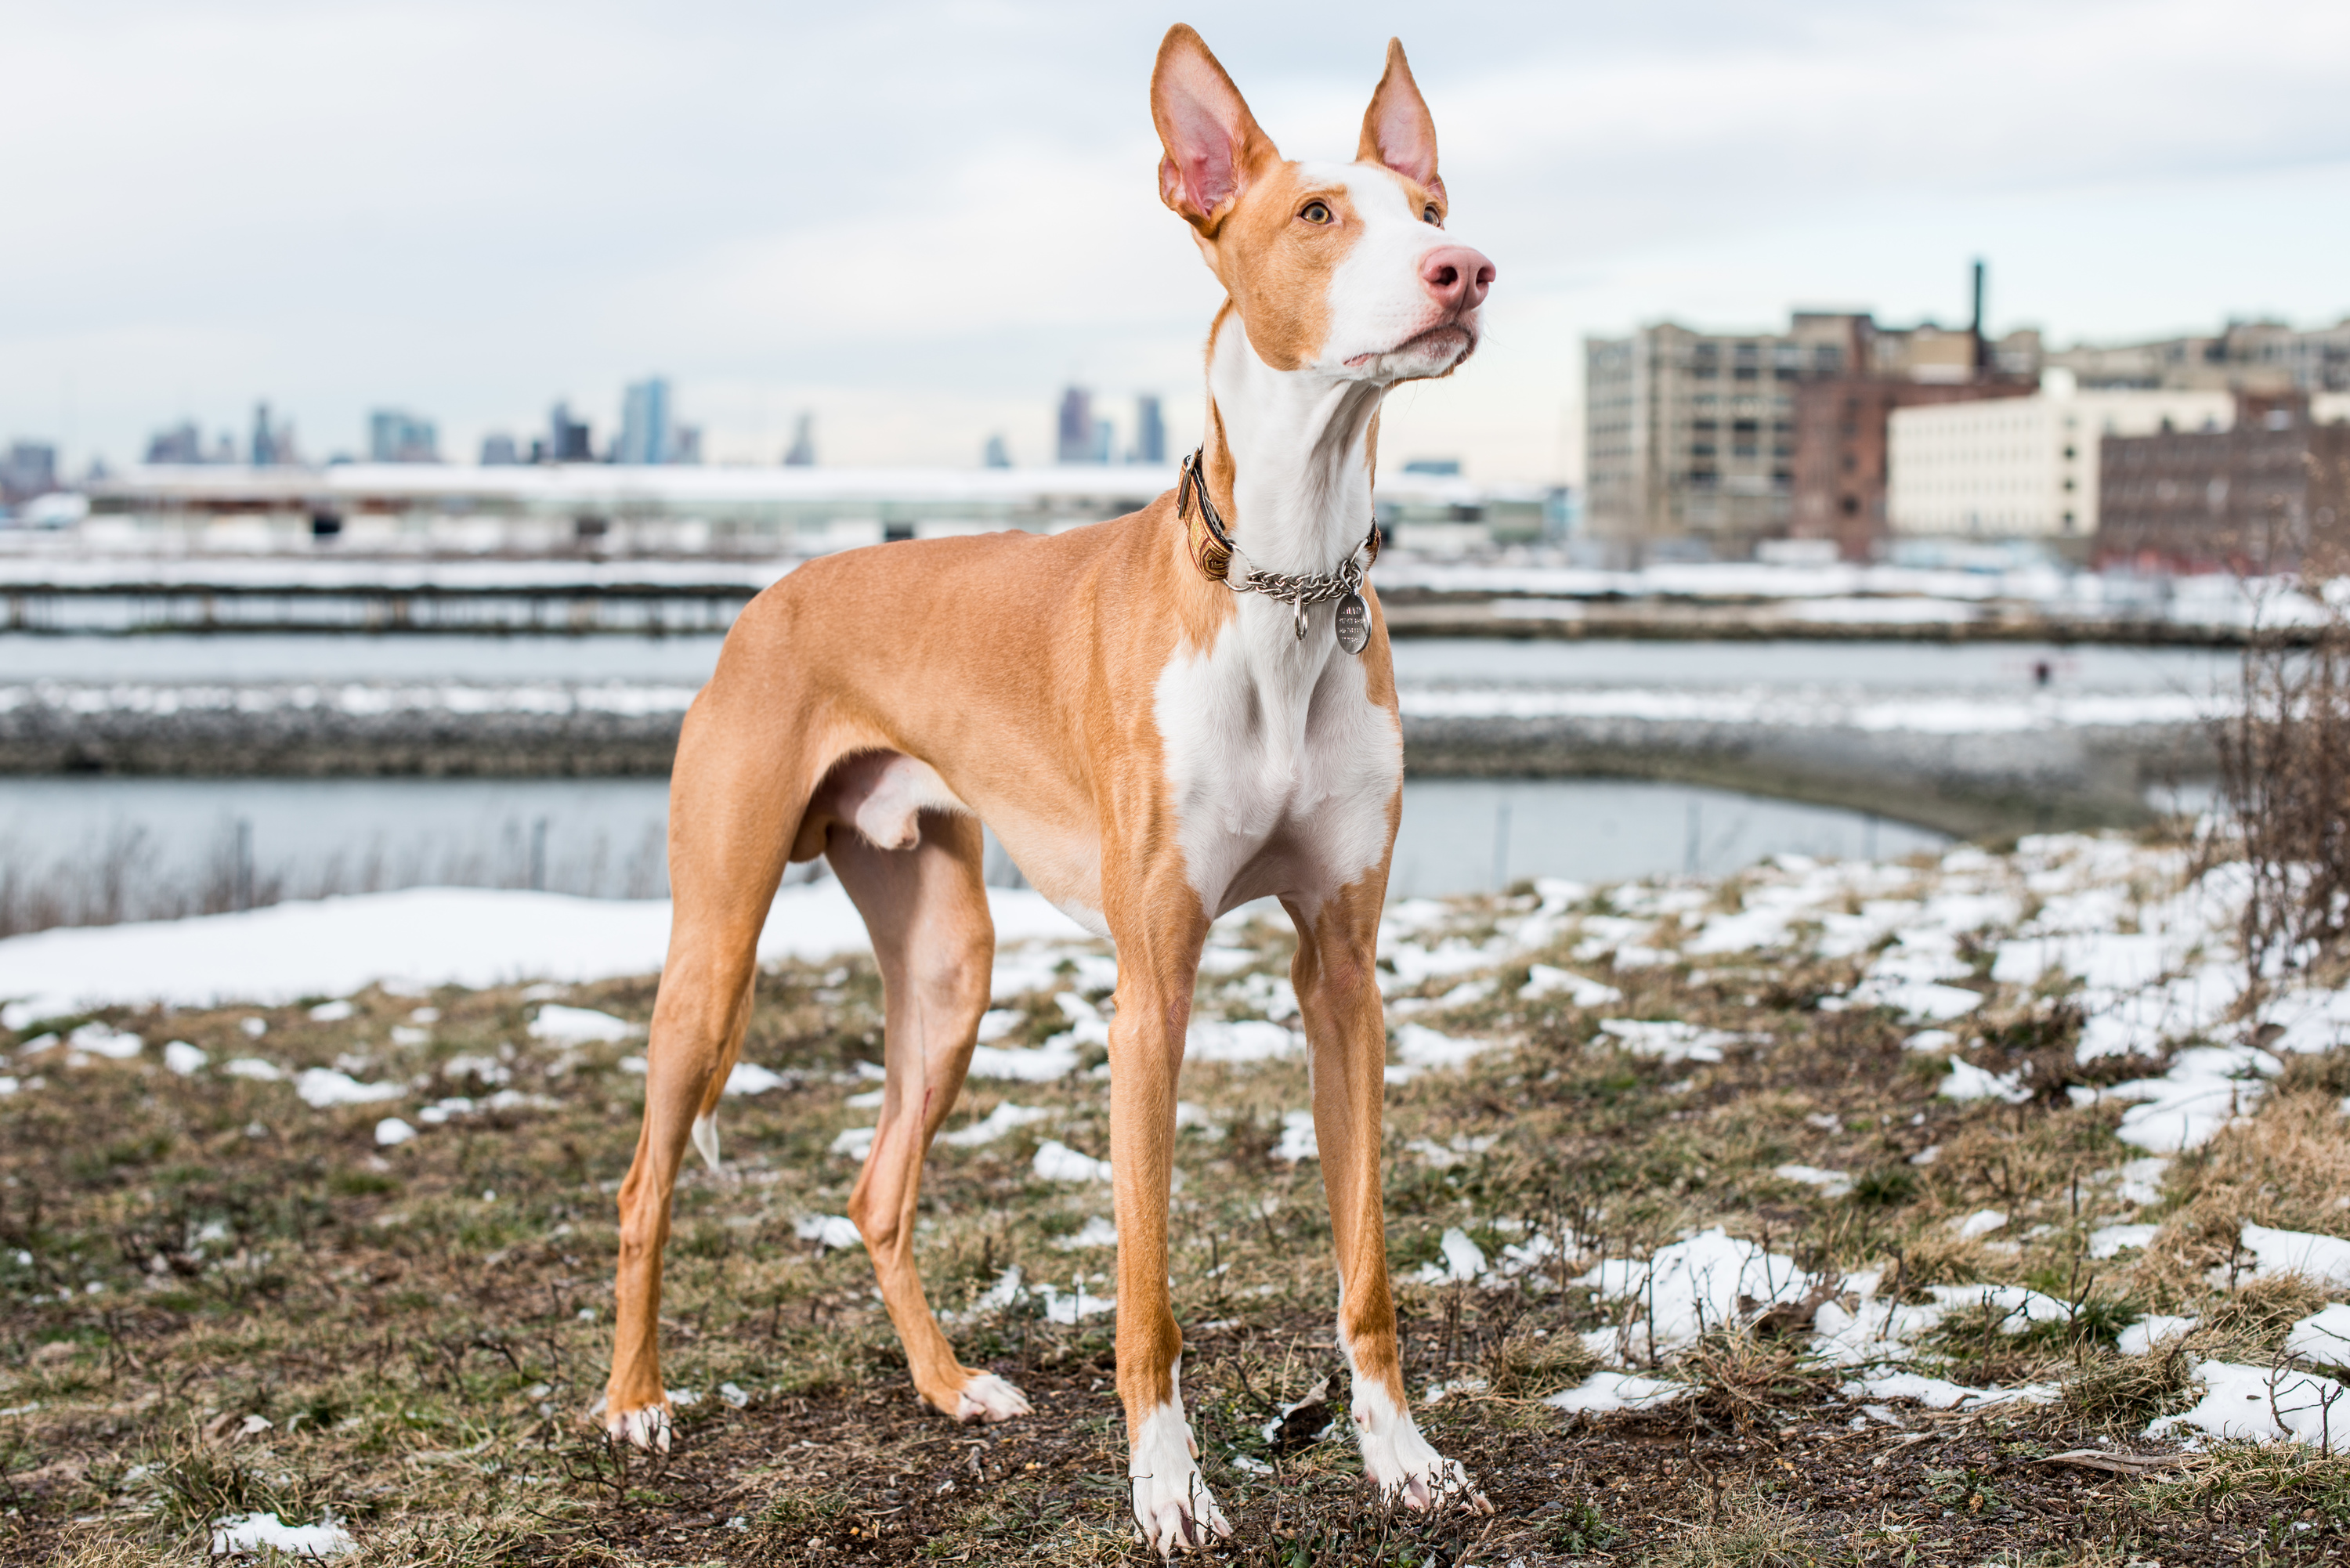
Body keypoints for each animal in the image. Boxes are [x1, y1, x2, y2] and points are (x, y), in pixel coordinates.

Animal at [597, 27, 1495, 1560]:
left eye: (1430, 208)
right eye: (1320, 213)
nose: (1467, 269)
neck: (1281, 586)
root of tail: (774, 590)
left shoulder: (1344, 969)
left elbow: (1368, 1264)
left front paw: (1402, 1458)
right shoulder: (1153, 990)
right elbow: (1148, 1296)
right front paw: (1170, 1490)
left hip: (950, 961)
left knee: (877, 1188)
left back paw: (948, 1384)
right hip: (713, 948)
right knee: (647, 1178)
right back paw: (637, 1401)